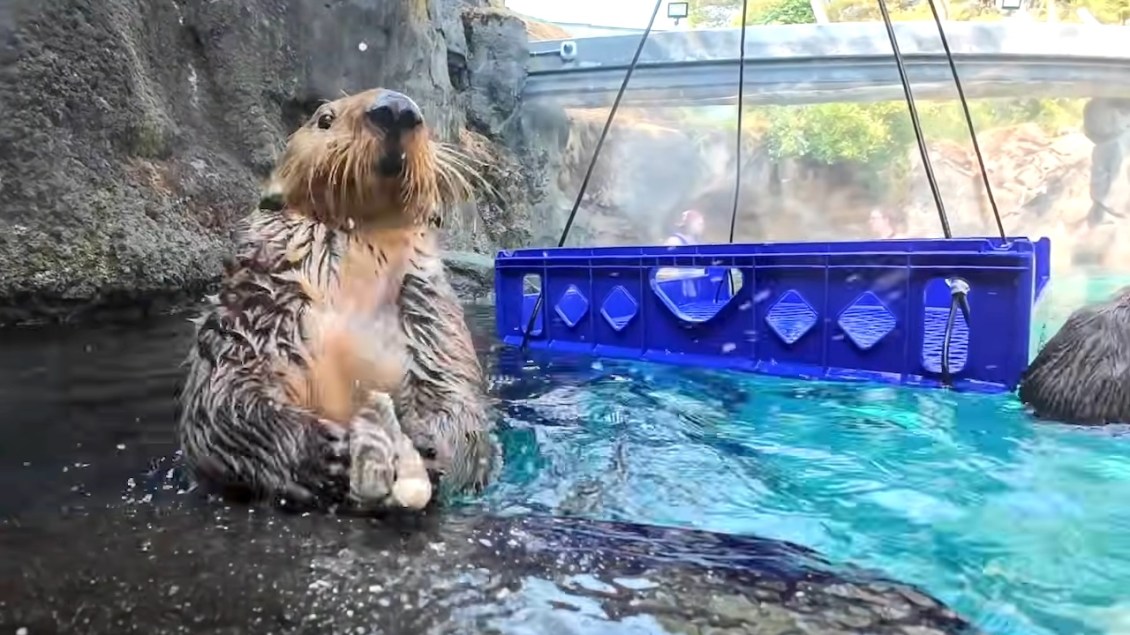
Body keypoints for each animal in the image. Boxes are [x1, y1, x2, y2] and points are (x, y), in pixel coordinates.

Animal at [178, 88, 499, 513]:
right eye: (324, 119)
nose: (396, 108)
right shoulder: (253, 309)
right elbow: (224, 398)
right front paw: (322, 455)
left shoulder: (431, 319)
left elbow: (457, 399)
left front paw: (429, 450)